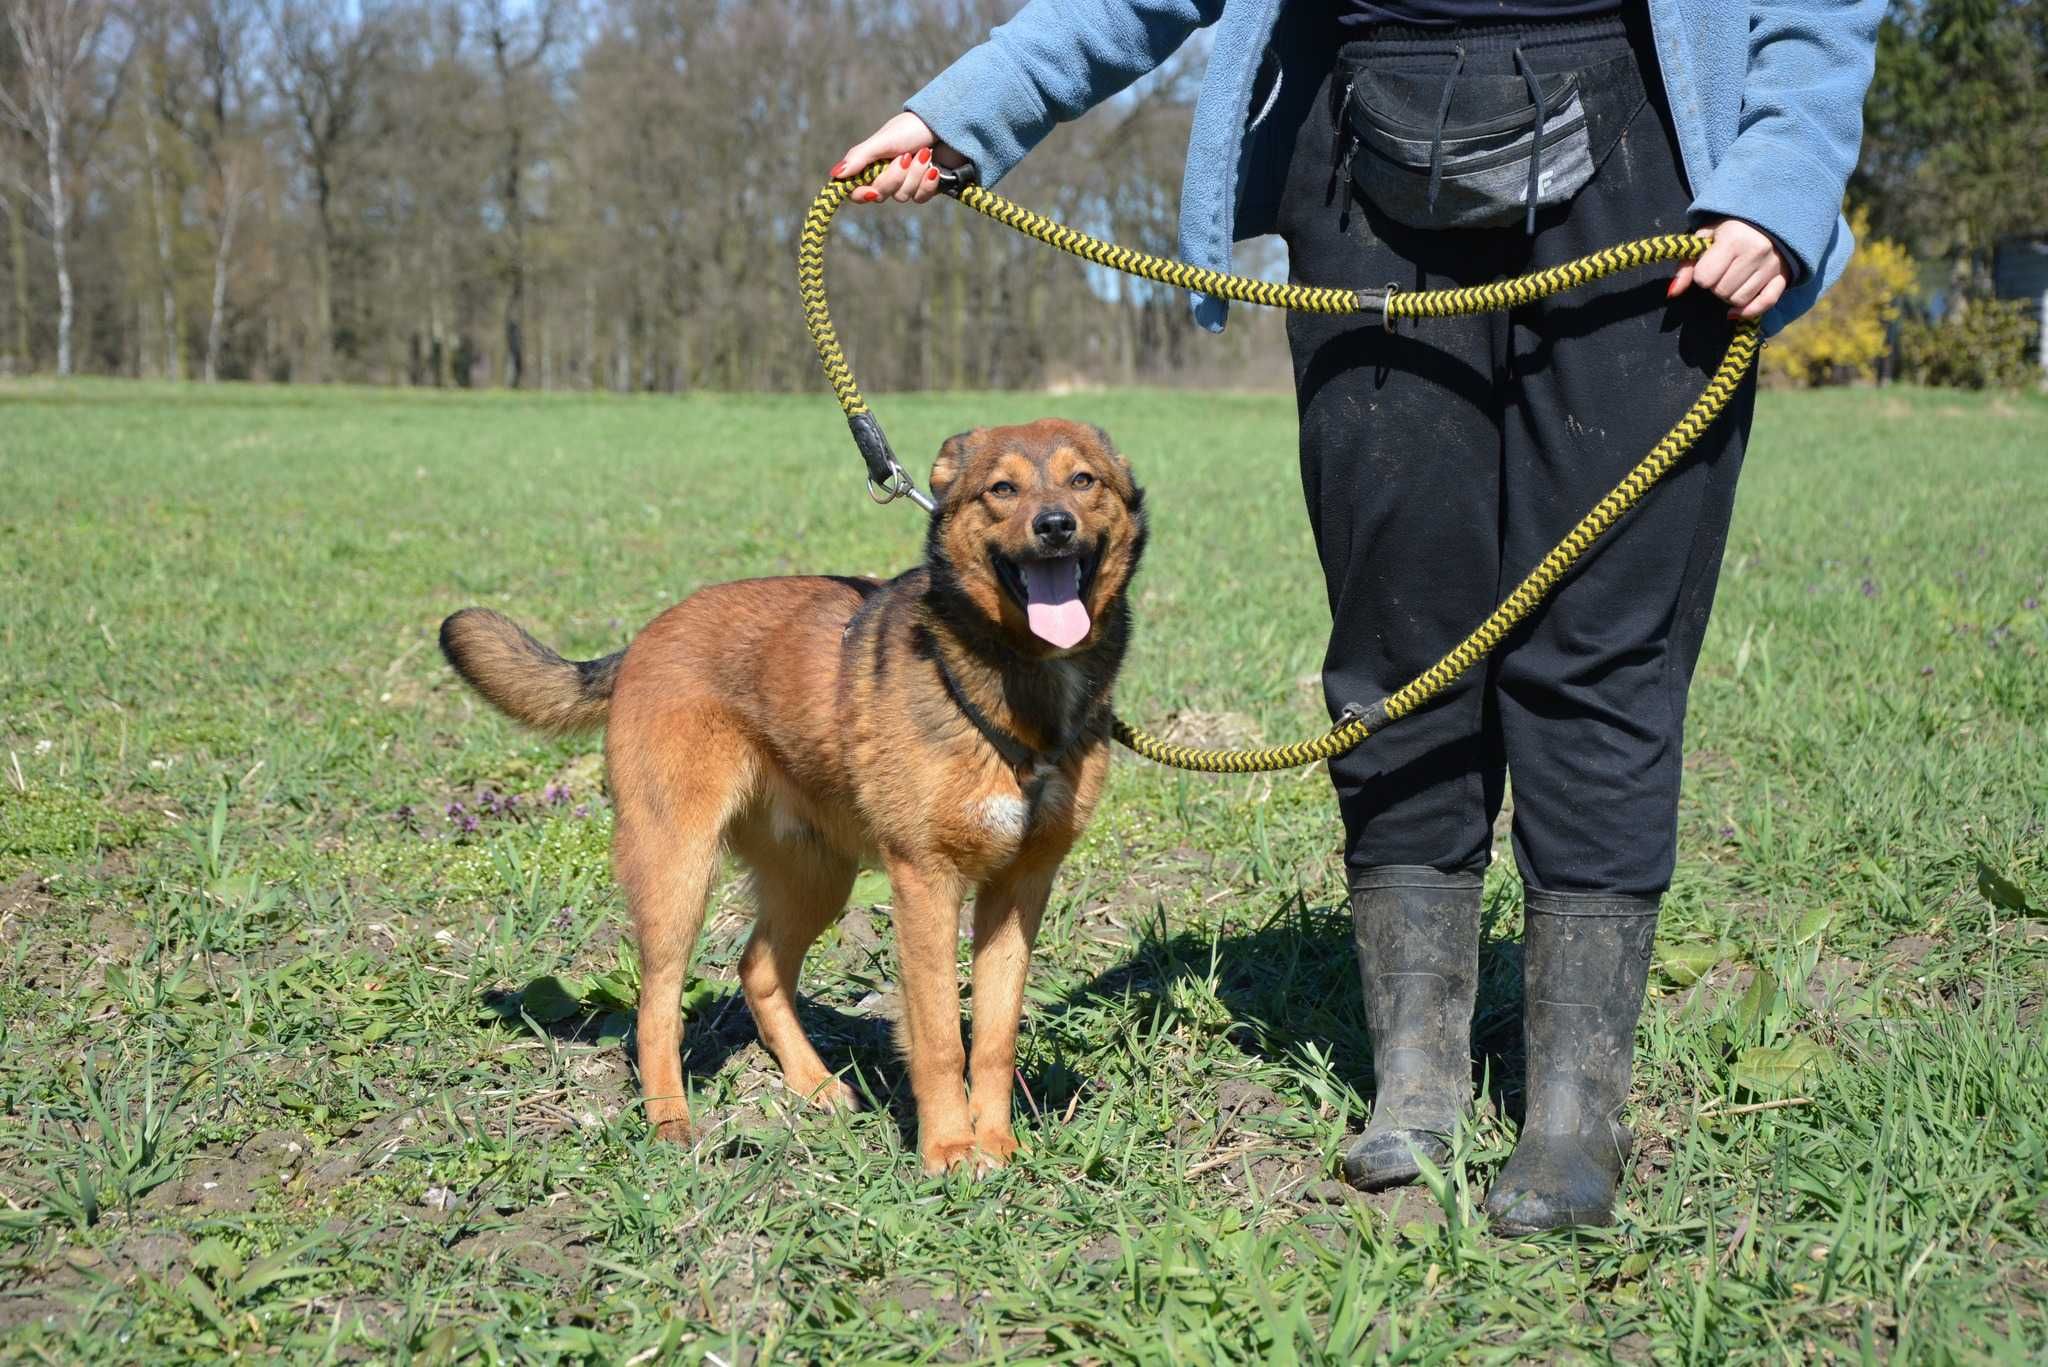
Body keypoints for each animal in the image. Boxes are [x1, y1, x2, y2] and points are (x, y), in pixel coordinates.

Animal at [440, 420, 1146, 1180]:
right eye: (1002, 489)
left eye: (1084, 480)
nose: (1054, 526)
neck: (1014, 681)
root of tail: (642, 640)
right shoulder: (925, 882)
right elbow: (938, 1037)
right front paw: (949, 1149)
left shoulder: (1021, 885)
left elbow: (993, 1035)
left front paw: (998, 1145)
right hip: (678, 868)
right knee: (656, 1004)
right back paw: (670, 1122)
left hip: (818, 876)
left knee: (757, 969)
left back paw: (814, 1086)